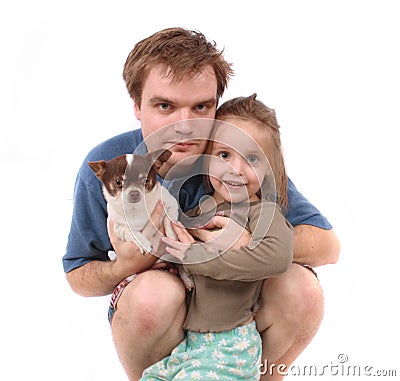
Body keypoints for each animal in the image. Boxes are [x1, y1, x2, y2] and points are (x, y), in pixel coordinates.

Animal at [88, 148, 194, 288]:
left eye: (145, 180)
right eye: (118, 182)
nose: (134, 193)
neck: (136, 209)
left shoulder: (170, 204)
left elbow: (169, 220)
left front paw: (171, 235)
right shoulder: (120, 228)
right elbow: (131, 232)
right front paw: (143, 243)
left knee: (181, 267)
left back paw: (187, 280)